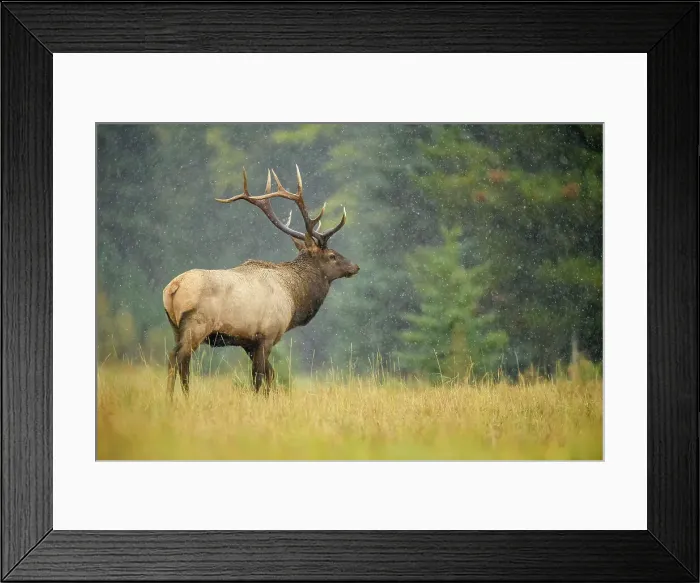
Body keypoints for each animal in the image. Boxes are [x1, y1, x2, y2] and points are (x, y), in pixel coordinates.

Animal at [162, 165, 360, 396]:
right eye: (332, 256)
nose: (355, 266)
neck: (294, 298)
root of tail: (172, 288)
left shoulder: (248, 342)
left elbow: (269, 376)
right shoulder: (267, 334)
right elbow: (260, 378)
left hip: (175, 326)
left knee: (172, 357)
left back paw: (169, 398)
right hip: (197, 324)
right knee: (182, 358)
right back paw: (185, 397)